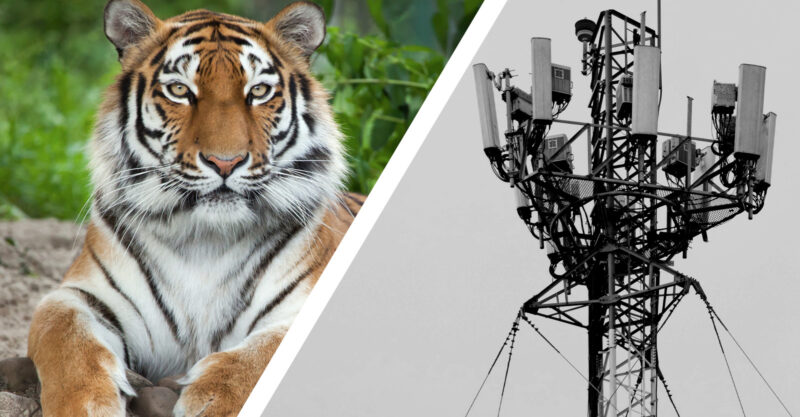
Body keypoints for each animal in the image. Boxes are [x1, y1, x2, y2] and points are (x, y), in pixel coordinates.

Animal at [26, 1, 365, 416]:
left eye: (258, 91)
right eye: (179, 90)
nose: (225, 162)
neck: (205, 239)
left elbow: (262, 353)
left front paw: (213, 399)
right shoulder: (77, 295)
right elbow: (66, 335)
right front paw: (86, 404)